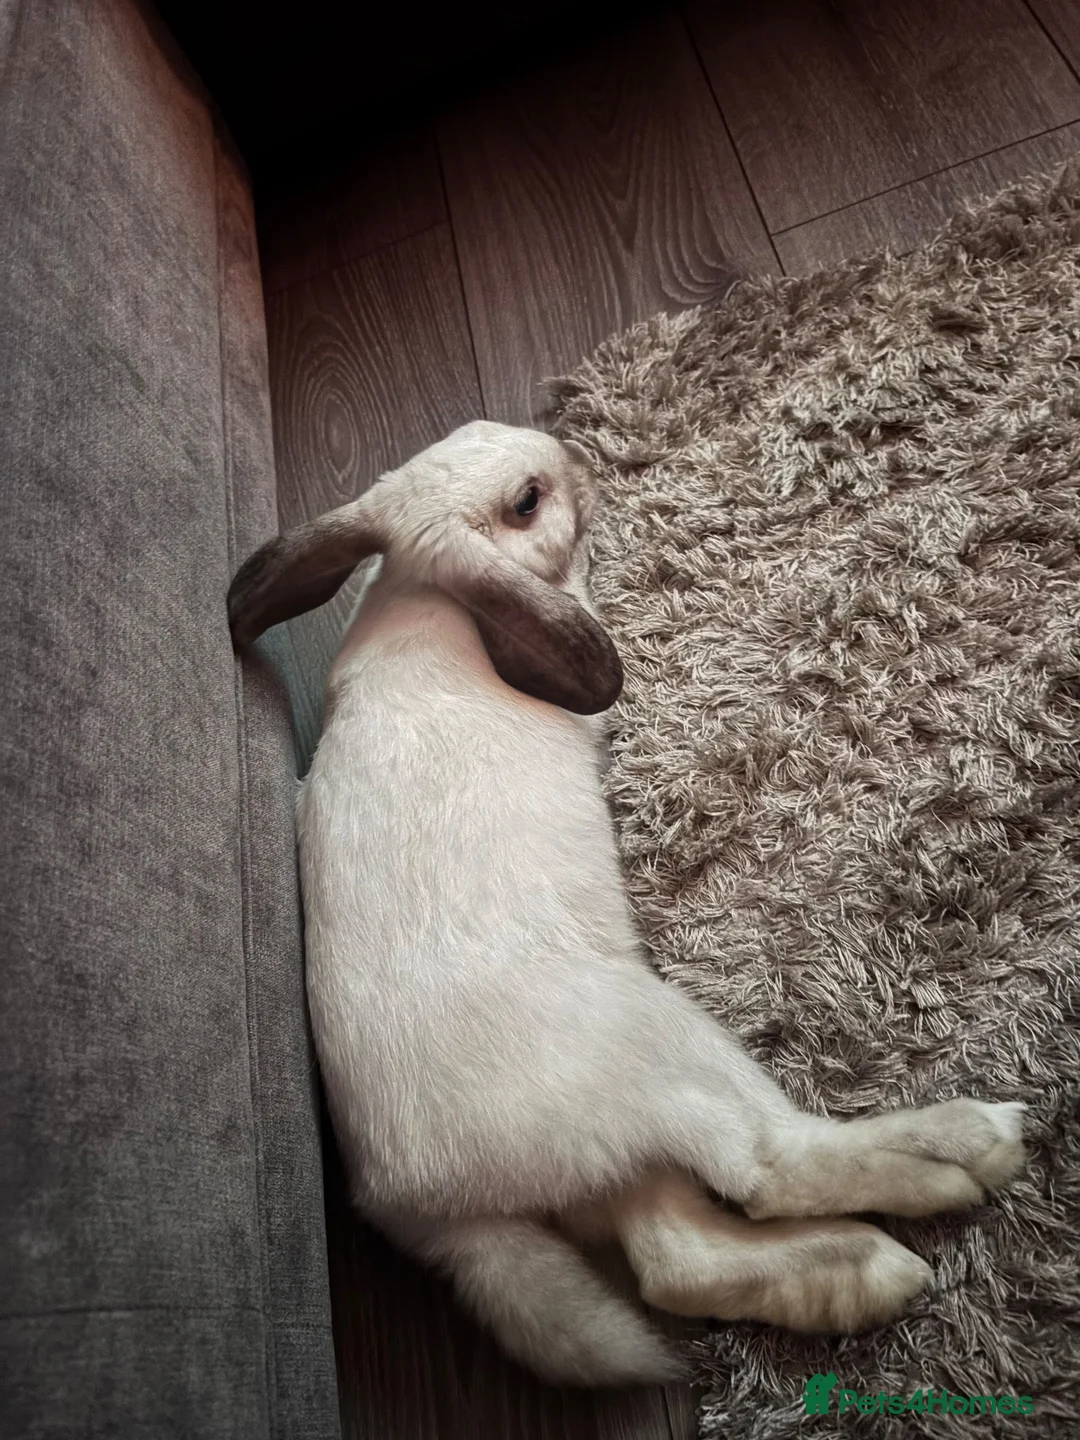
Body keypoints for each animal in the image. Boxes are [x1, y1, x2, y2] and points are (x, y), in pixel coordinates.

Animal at [228, 420, 1027, 1388]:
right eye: (527, 500)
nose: (572, 455)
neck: (435, 599)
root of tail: (436, 1205)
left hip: (626, 1161)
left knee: (676, 1261)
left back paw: (861, 1273)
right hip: (669, 1048)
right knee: (767, 1167)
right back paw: (967, 1148)